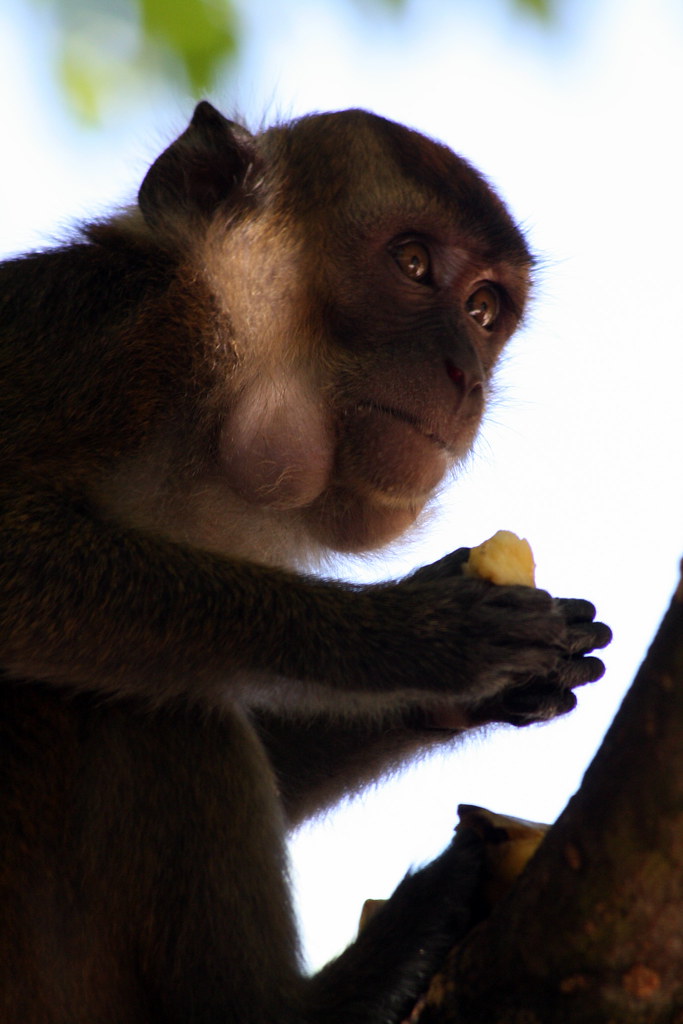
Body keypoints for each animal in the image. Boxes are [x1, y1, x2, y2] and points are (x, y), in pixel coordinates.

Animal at [0, 101, 611, 1023]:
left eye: (482, 310)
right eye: (411, 263)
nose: (463, 376)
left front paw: (480, 685)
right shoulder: (111, 342)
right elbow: (17, 558)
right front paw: (409, 638)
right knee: (155, 709)